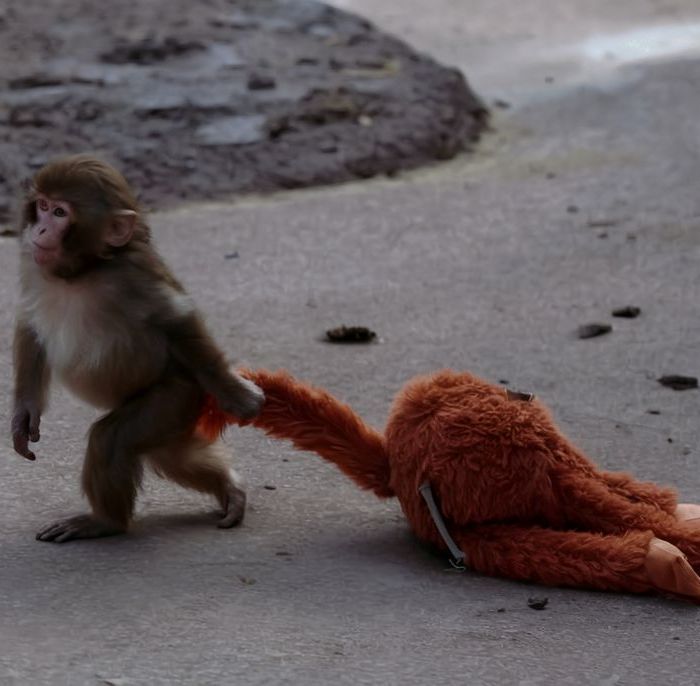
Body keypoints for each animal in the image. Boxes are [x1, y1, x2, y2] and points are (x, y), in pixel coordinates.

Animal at [11, 154, 264, 542]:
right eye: (42, 205)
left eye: (60, 213)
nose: (38, 231)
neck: (82, 272)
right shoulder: (33, 265)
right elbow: (30, 322)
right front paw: (24, 415)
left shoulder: (134, 274)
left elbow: (176, 319)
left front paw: (236, 393)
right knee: (169, 454)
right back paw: (229, 488)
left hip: (178, 393)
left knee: (112, 439)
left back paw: (105, 521)